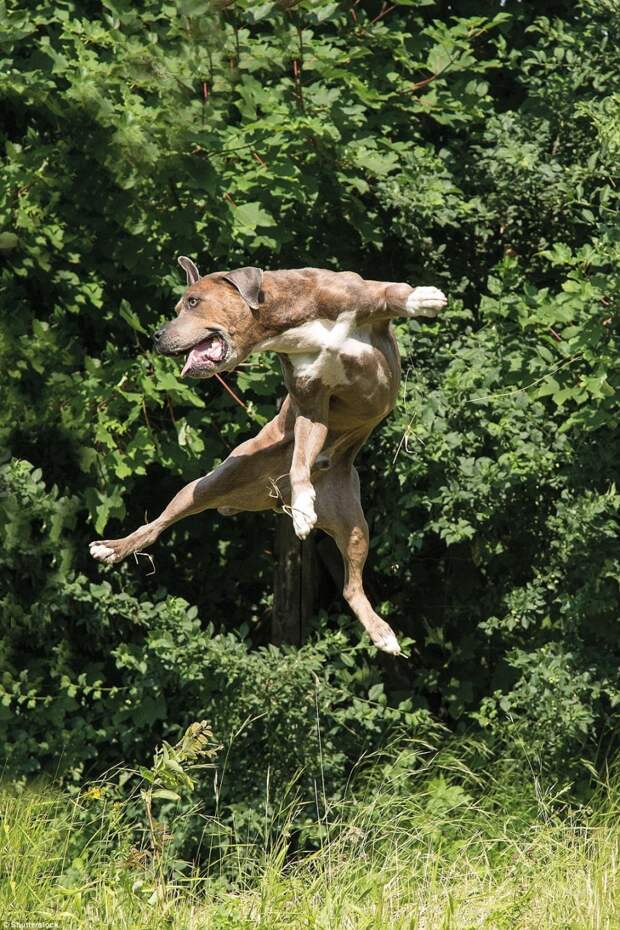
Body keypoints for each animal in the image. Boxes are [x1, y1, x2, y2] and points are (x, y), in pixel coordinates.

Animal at [88, 258, 446, 652]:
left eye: (194, 302)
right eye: (179, 307)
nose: (157, 336)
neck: (287, 326)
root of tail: (274, 498)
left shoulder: (361, 299)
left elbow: (392, 292)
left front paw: (423, 298)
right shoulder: (311, 406)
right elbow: (300, 458)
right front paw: (304, 508)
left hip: (354, 526)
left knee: (352, 585)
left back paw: (380, 631)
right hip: (208, 485)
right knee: (156, 525)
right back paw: (112, 548)